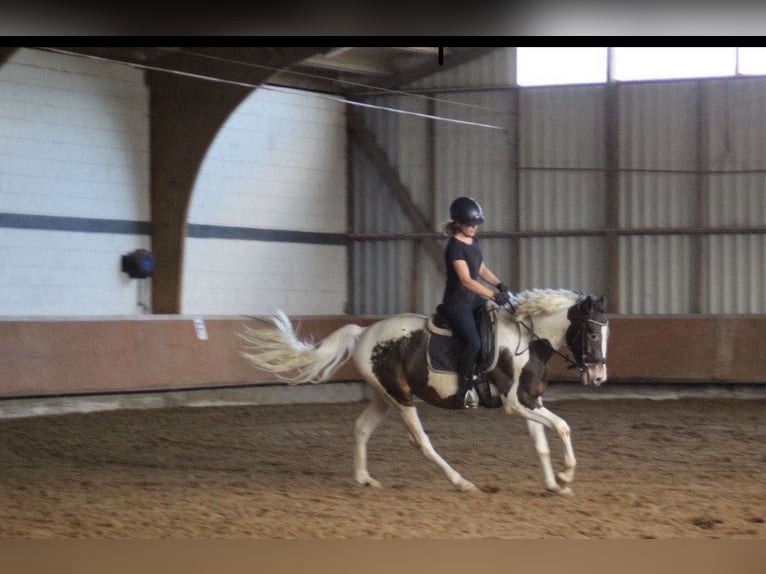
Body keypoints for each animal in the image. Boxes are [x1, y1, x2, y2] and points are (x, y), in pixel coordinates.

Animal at [240, 290, 612, 498]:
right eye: (593, 334)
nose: (598, 376)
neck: (529, 341)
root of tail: (364, 332)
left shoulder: (530, 401)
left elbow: (542, 443)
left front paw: (553, 485)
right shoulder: (515, 404)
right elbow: (562, 427)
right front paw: (565, 475)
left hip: (385, 395)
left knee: (361, 429)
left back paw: (364, 479)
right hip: (401, 398)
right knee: (422, 442)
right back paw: (461, 483)